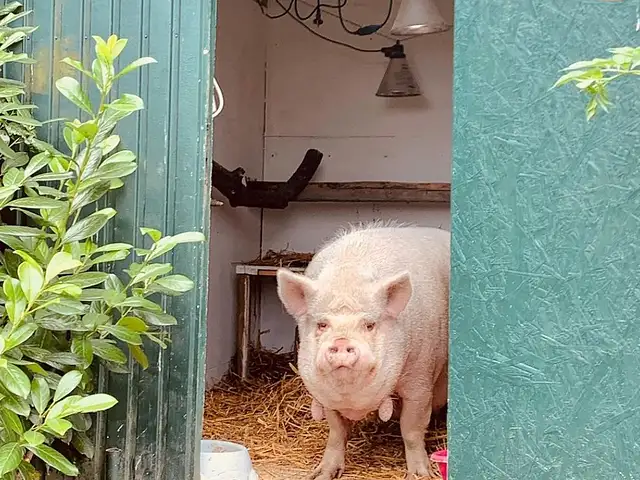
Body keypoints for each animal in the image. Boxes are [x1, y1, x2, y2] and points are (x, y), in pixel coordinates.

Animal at [276, 223, 450, 478]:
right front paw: (321, 474)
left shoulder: (420, 379)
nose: (340, 342)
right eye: (322, 324)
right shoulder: (327, 398)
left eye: (369, 325)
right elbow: (337, 431)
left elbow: (411, 429)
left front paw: (420, 475)